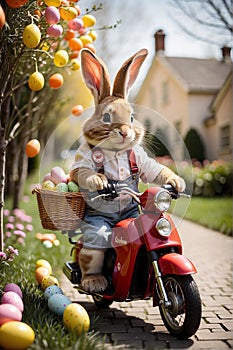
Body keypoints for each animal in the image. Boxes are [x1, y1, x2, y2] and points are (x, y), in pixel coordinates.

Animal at [70, 47, 185, 292]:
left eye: (131, 117)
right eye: (106, 117)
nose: (124, 132)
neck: (115, 151)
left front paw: (176, 182)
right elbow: (80, 171)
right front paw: (98, 181)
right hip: (92, 242)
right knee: (88, 255)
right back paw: (93, 282)